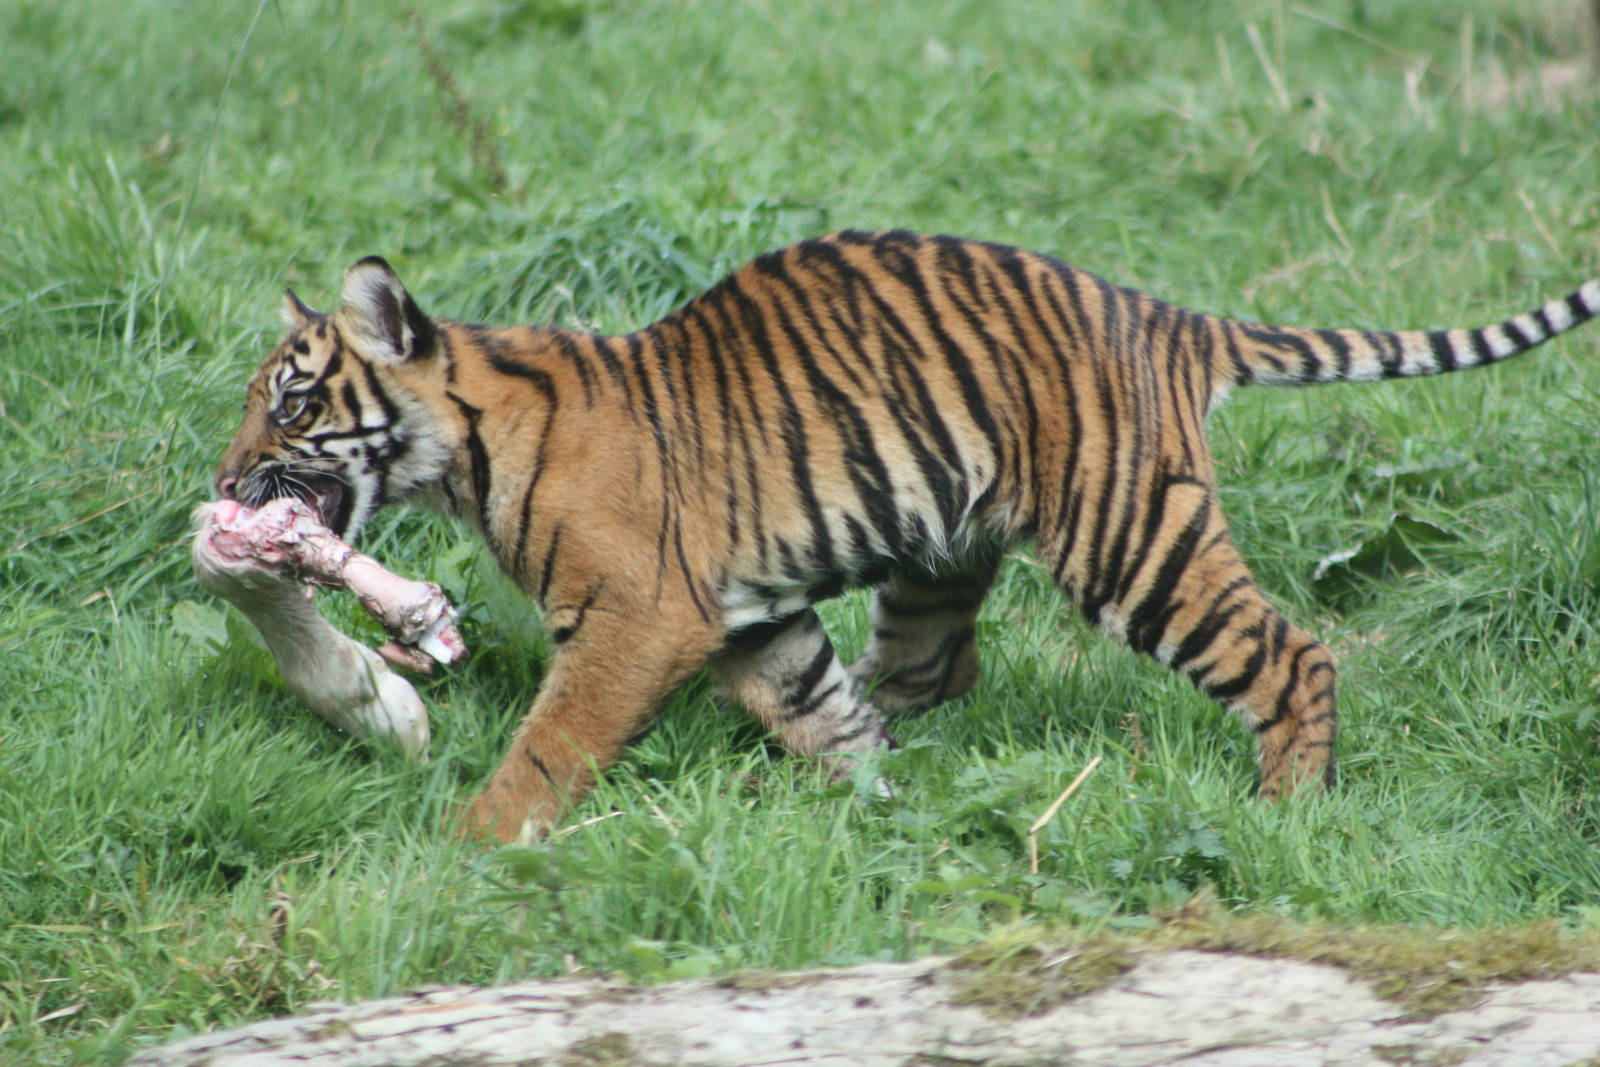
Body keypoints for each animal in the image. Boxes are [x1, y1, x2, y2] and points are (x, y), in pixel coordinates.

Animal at [212, 229, 1600, 841]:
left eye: (291, 397)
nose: (221, 478)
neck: (468, 448)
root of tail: (1163, 315)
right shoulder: (753, 620)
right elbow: (824, 714)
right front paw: (882, 809)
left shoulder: (634, 618)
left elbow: (546, 748)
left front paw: (462, 851)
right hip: (939, 561)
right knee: (933, 670)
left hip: (1130, 541)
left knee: (1290, 651)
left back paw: (1284, 812)